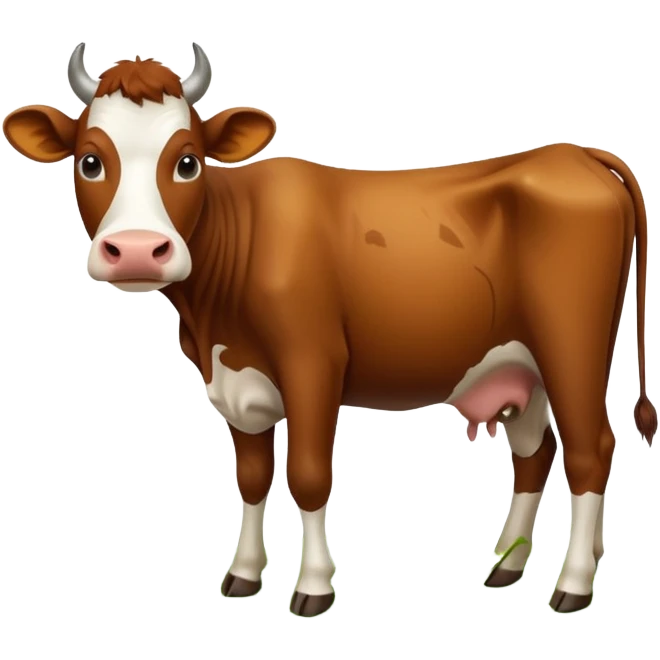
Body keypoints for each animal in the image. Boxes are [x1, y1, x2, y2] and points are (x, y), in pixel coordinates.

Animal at [2, 41, 656, 618]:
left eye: (187, 161)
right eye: (90, 161)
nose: (137, 251)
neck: (214, 318)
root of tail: (575, 154)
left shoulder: (313, 363)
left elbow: (310, 476)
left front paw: (313, 589)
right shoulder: (235, 380)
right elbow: (252, 477)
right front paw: (243, 576)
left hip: (572, 346)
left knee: (591, 451)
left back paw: (572, 585)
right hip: (520, 364)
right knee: (535, 452)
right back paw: (508, 567)